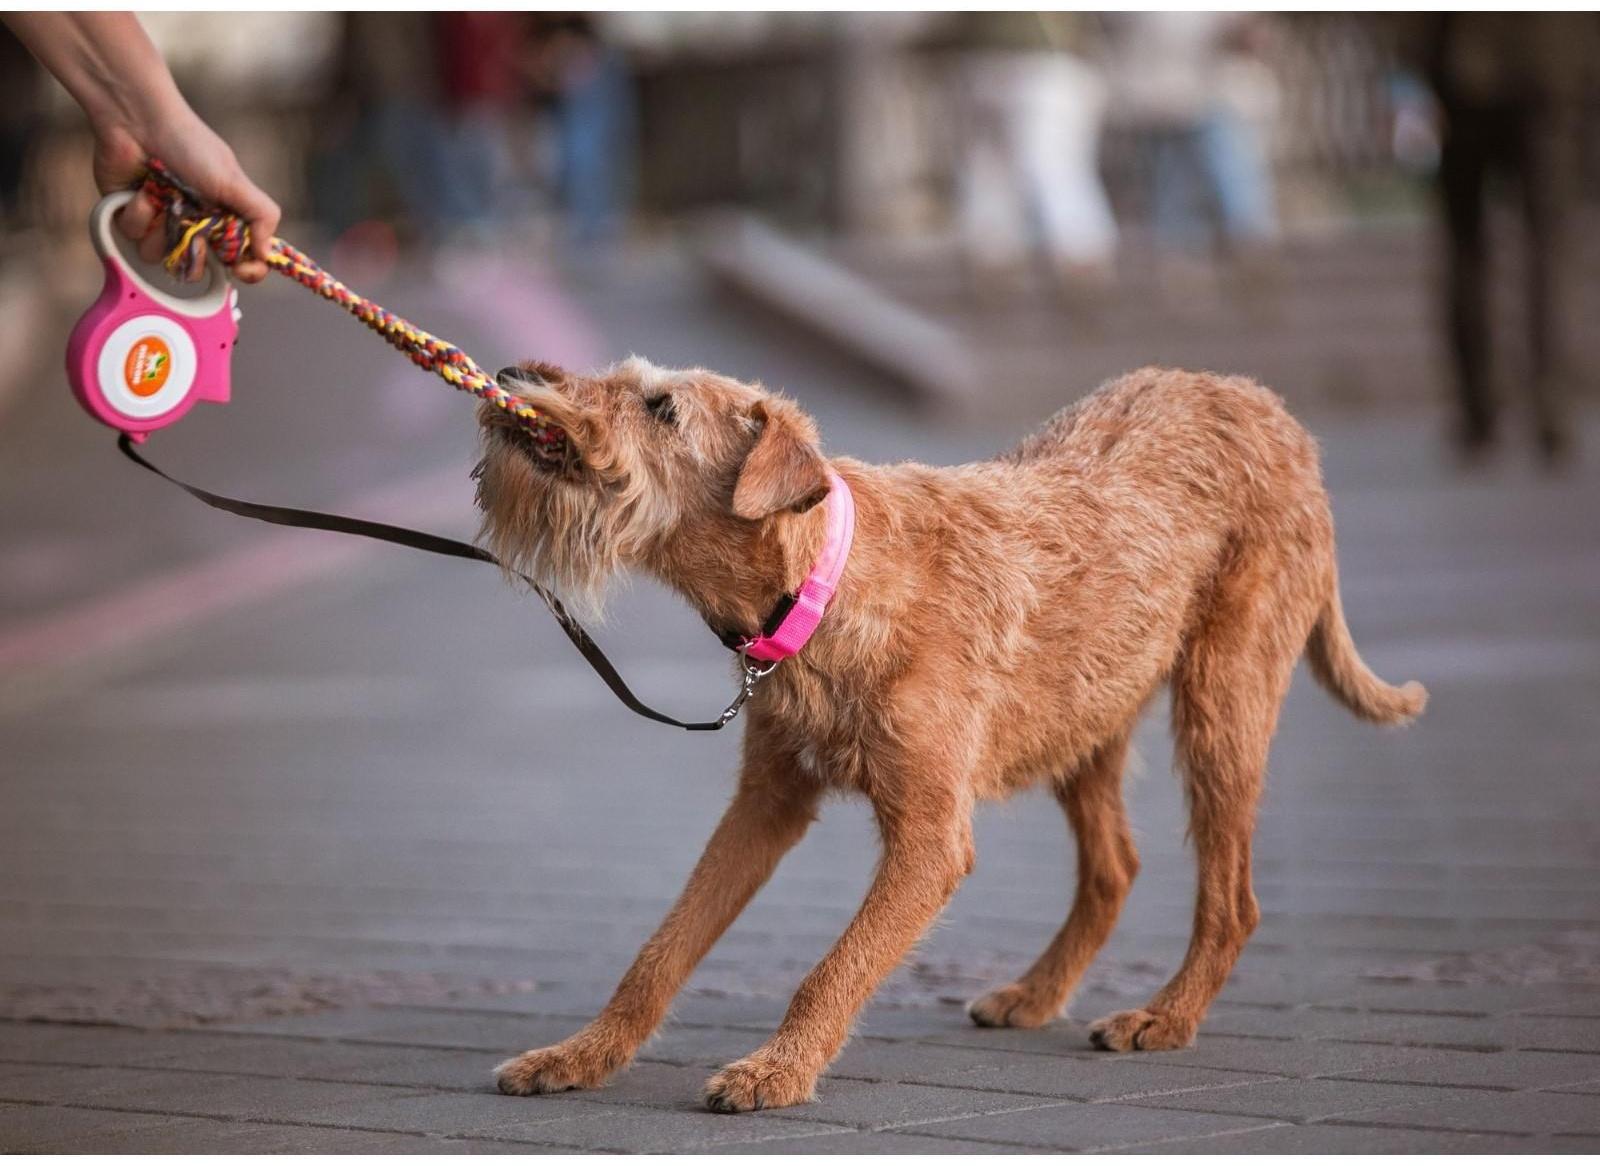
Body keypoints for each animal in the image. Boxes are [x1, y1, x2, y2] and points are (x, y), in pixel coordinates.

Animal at [473, 356, 1427, 1106]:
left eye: (662, 407)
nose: (516, 371)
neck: (828, 579)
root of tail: (1272, 410)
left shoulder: (930, 837)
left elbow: (834, 968)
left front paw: (776, 1071)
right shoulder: (765, 805)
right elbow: (662, 948)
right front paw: (581, 1056)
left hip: (1220, 703)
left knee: (1231, 899)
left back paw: (1165, 1016)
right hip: (1085, 715)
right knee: (1114, 866)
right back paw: (1037, 994)